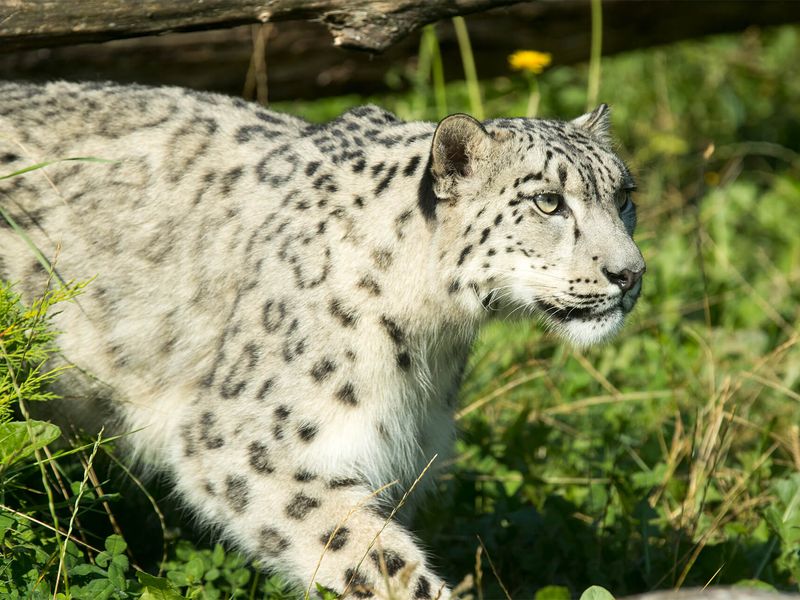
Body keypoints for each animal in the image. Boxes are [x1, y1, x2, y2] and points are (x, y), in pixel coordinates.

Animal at [0, 81, 644, 600]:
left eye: (624, 196)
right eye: (548, 200)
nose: (630, 273)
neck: (430, 344)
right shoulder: (249, 443)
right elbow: (372, 558)